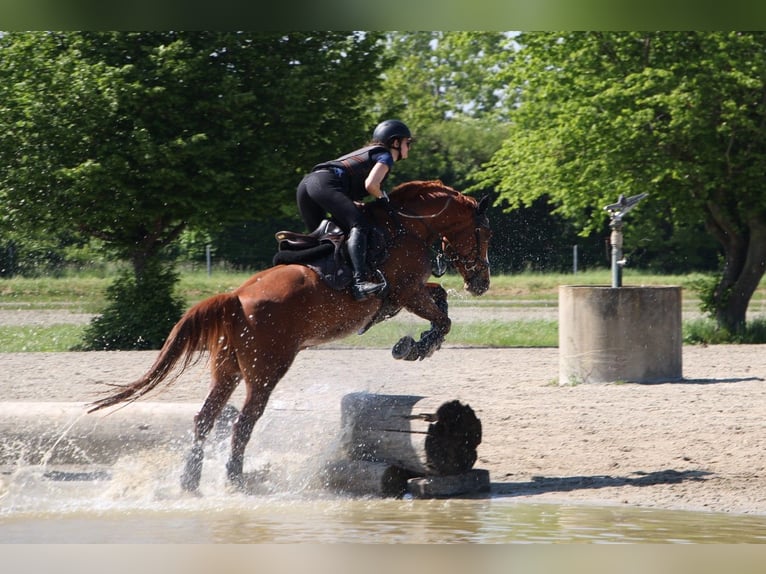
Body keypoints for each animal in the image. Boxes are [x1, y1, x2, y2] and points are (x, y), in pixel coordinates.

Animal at [88, 181, 492, 496]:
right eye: (483, 234)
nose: (481, 284)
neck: (407, 227)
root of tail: (235, 298)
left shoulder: (408, 293)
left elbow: (440, 300)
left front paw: (418, 343)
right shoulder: (406, 292)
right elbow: (441, 317)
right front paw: (413, 348)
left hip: (228, 369)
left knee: (205, 418)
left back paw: (191, 483)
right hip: (266, 369)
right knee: (243, 423)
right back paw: (235, 481)